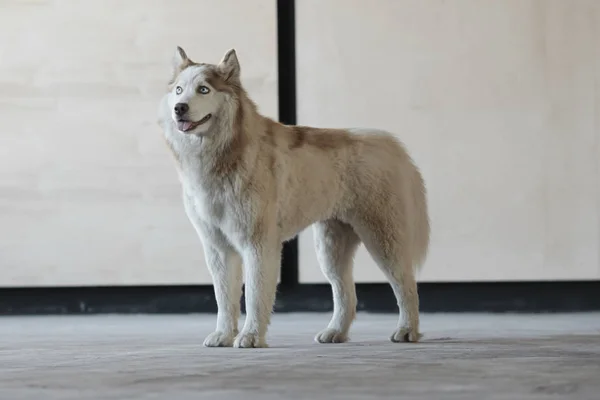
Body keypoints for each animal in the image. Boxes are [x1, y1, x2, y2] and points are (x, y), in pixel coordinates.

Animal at [157, 46, 428, 346]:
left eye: (203, 89)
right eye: (179, 90)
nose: (179, 108)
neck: (225, 154)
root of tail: (391, 145)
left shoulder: (258, 244)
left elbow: (254, 296)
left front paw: (250, 336)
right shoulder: (217, 247)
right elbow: (224, 298)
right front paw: (223, 335)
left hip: (383, 240)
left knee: (406, 286)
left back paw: (407, 330)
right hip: (331, 249)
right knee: (346, 292)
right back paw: (335, 332)